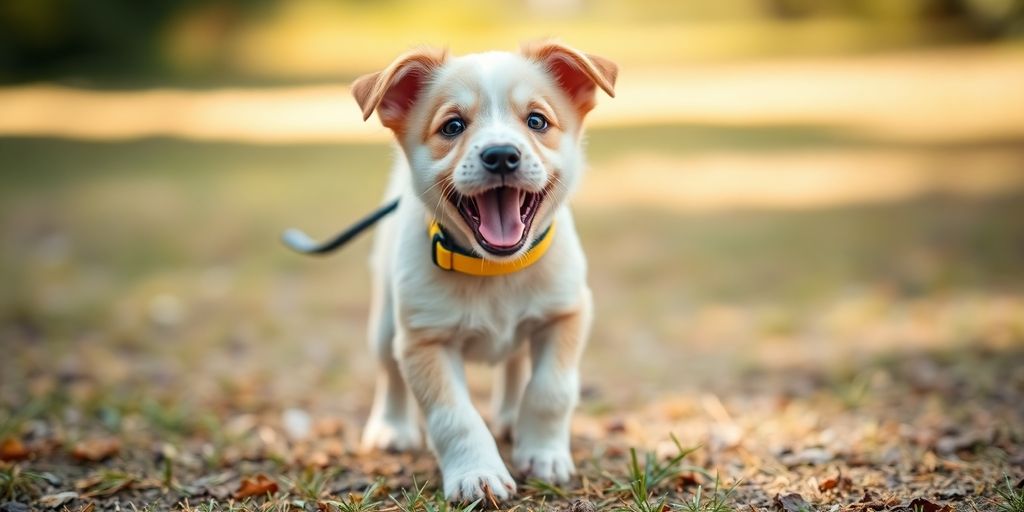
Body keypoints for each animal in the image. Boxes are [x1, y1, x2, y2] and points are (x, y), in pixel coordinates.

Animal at [350, 40, 614, 503]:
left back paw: (510, 418)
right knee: (389, 373)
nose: (502, 155)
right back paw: (392, 427)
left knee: (515, 364)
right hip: (385, 325)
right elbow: (455, 416)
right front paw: (477, 474)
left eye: (536, 121)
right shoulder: (424, 340)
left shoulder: (566, 314)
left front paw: (544, 455)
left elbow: (550, 390)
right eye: (453, 126)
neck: (494, 271)